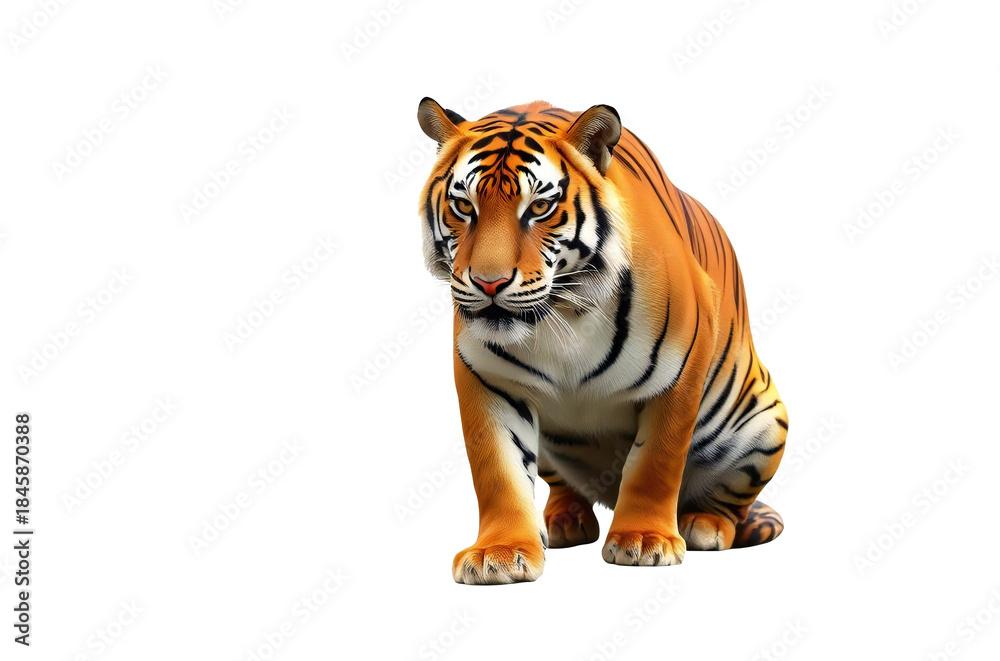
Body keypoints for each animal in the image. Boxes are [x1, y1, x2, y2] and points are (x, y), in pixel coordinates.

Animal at [416, 98, 788, 585]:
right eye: (463, 205)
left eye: (539, 207)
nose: (488, 283)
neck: (561, 312)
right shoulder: (487, 377)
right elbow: (498, 470)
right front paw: (499, 552)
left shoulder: (681, 373)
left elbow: (655, 463)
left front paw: (645, 540)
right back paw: (563, 520)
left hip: (764, 425)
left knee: (726, 499)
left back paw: (702, 525)